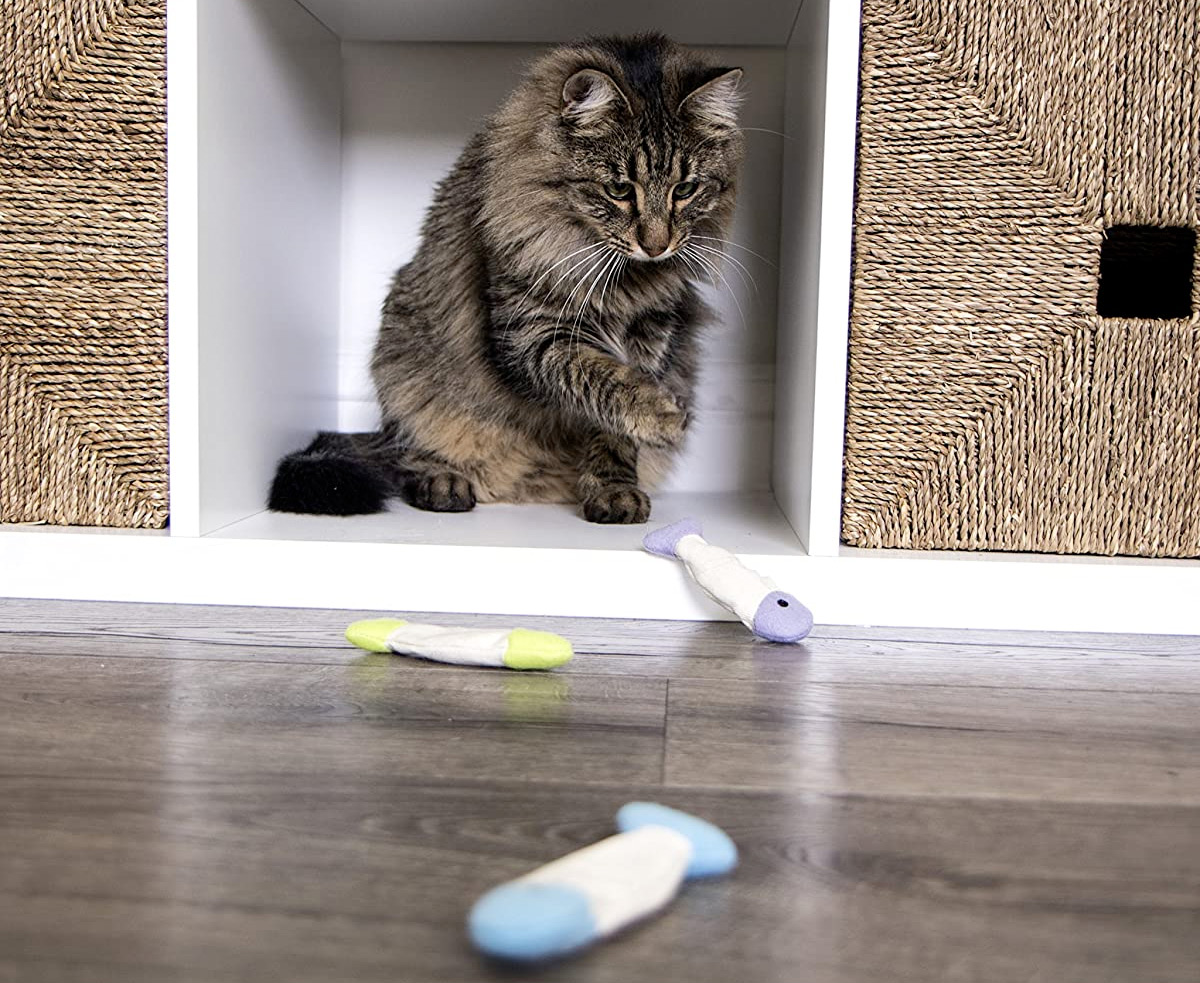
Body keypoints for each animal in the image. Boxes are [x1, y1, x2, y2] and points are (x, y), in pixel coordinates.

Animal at [267, 32, 744, 523]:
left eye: (684, 190)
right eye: (619, 190)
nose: (657, 245)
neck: (622, 279)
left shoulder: (654, 336)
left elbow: (614, 427)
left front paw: (614, 491)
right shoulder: (528, 334)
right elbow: (603, 380)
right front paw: (664, 416)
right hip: (405, 365)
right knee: (405, 453)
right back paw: (444, 483)